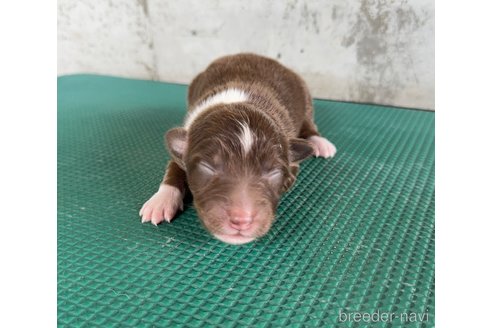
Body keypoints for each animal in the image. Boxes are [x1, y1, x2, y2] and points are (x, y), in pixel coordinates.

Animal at [140, 53, 336, 243]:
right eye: (207, 167)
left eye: (274, 173)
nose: (241, 219)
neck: (239, 102)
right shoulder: (182, 145)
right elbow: (173, 170)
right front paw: (161, 201)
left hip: (305, 96)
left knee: (309, 123)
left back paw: (319, 142)